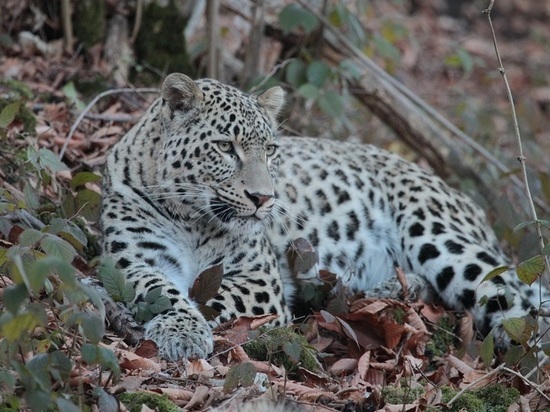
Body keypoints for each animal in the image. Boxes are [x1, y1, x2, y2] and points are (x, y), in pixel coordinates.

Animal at [101, 73, 548, 360]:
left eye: (270, 151)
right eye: (226, 147)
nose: (263, 198)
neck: (192, 218)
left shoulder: (260, 281)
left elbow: (206, 296)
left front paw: (186, 330)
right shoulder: (133, 261)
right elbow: (165, 292)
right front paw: (181, 330)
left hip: (440, 237)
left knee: (519, 302)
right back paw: (385, 291)